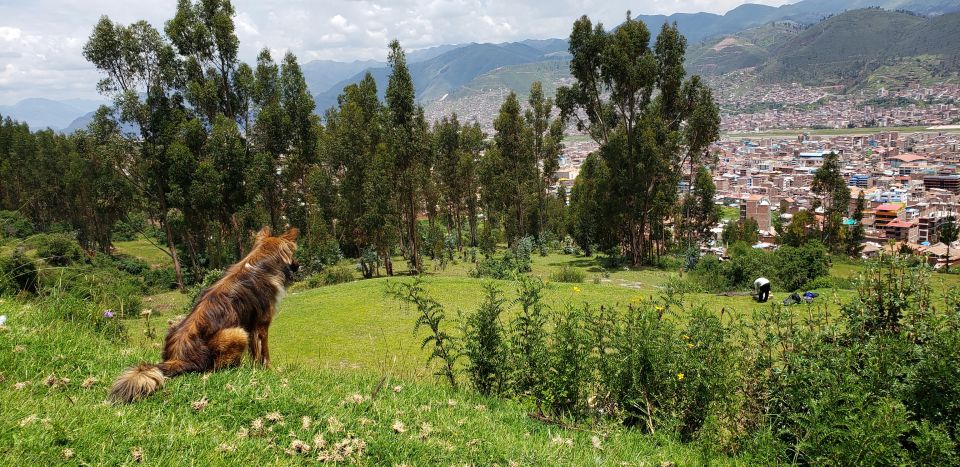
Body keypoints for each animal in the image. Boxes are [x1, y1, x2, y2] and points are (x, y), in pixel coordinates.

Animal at [108, 227, 300, 402]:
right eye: (294, 254)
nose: (299, 266)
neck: (262, 261)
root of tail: (178, 358)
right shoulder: (261, 324)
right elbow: (264, 352)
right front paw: (268, 371)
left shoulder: (252, 326)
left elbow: (256, 353)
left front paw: (257, 368)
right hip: (237, 333)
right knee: (214, 369)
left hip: (179, 325)